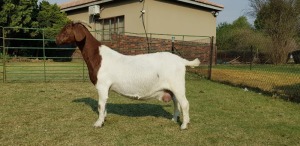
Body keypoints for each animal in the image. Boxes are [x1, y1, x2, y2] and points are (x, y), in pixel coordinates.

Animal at [55, 21, 200, 129]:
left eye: (66, 29)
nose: (56, 40)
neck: (98, 57)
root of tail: (181, 61)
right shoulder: (106, 87)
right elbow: (105, 103)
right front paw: (104, 118)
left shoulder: (102, 85)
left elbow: (101, 104)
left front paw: (98, 123)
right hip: (172, 88)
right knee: (176, 103)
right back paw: (174, 119)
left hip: (178, 85)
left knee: (184, 103)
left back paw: (184, 125)